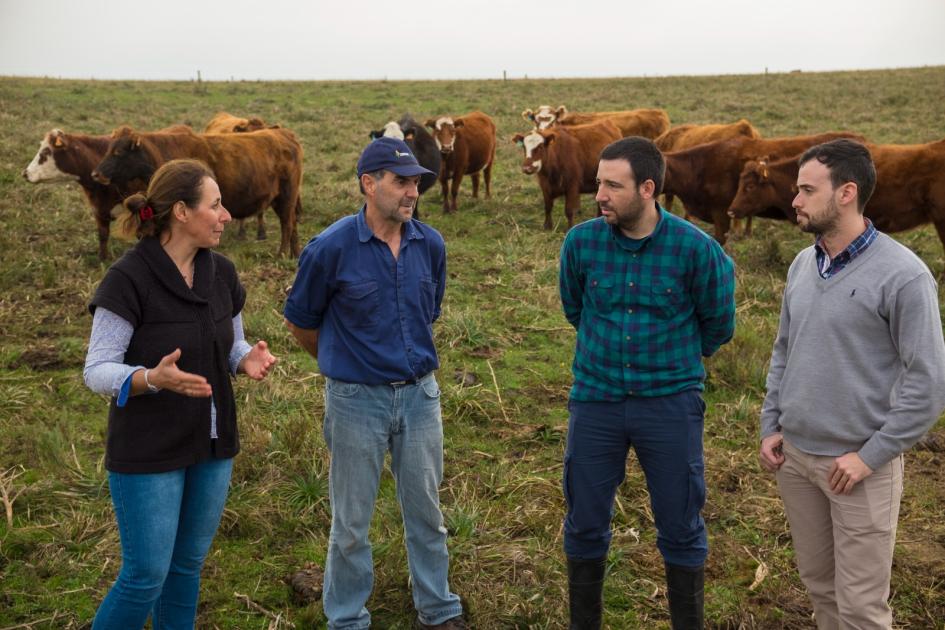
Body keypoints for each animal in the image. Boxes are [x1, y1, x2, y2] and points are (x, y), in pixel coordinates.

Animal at [91, 126, 300, 256]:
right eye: (108, 149)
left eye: (117, 152)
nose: (96, 174)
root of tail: (284, 134)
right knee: (292, 224)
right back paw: (295, 254)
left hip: (286, 197)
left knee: (287, 225)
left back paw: (282, 253)